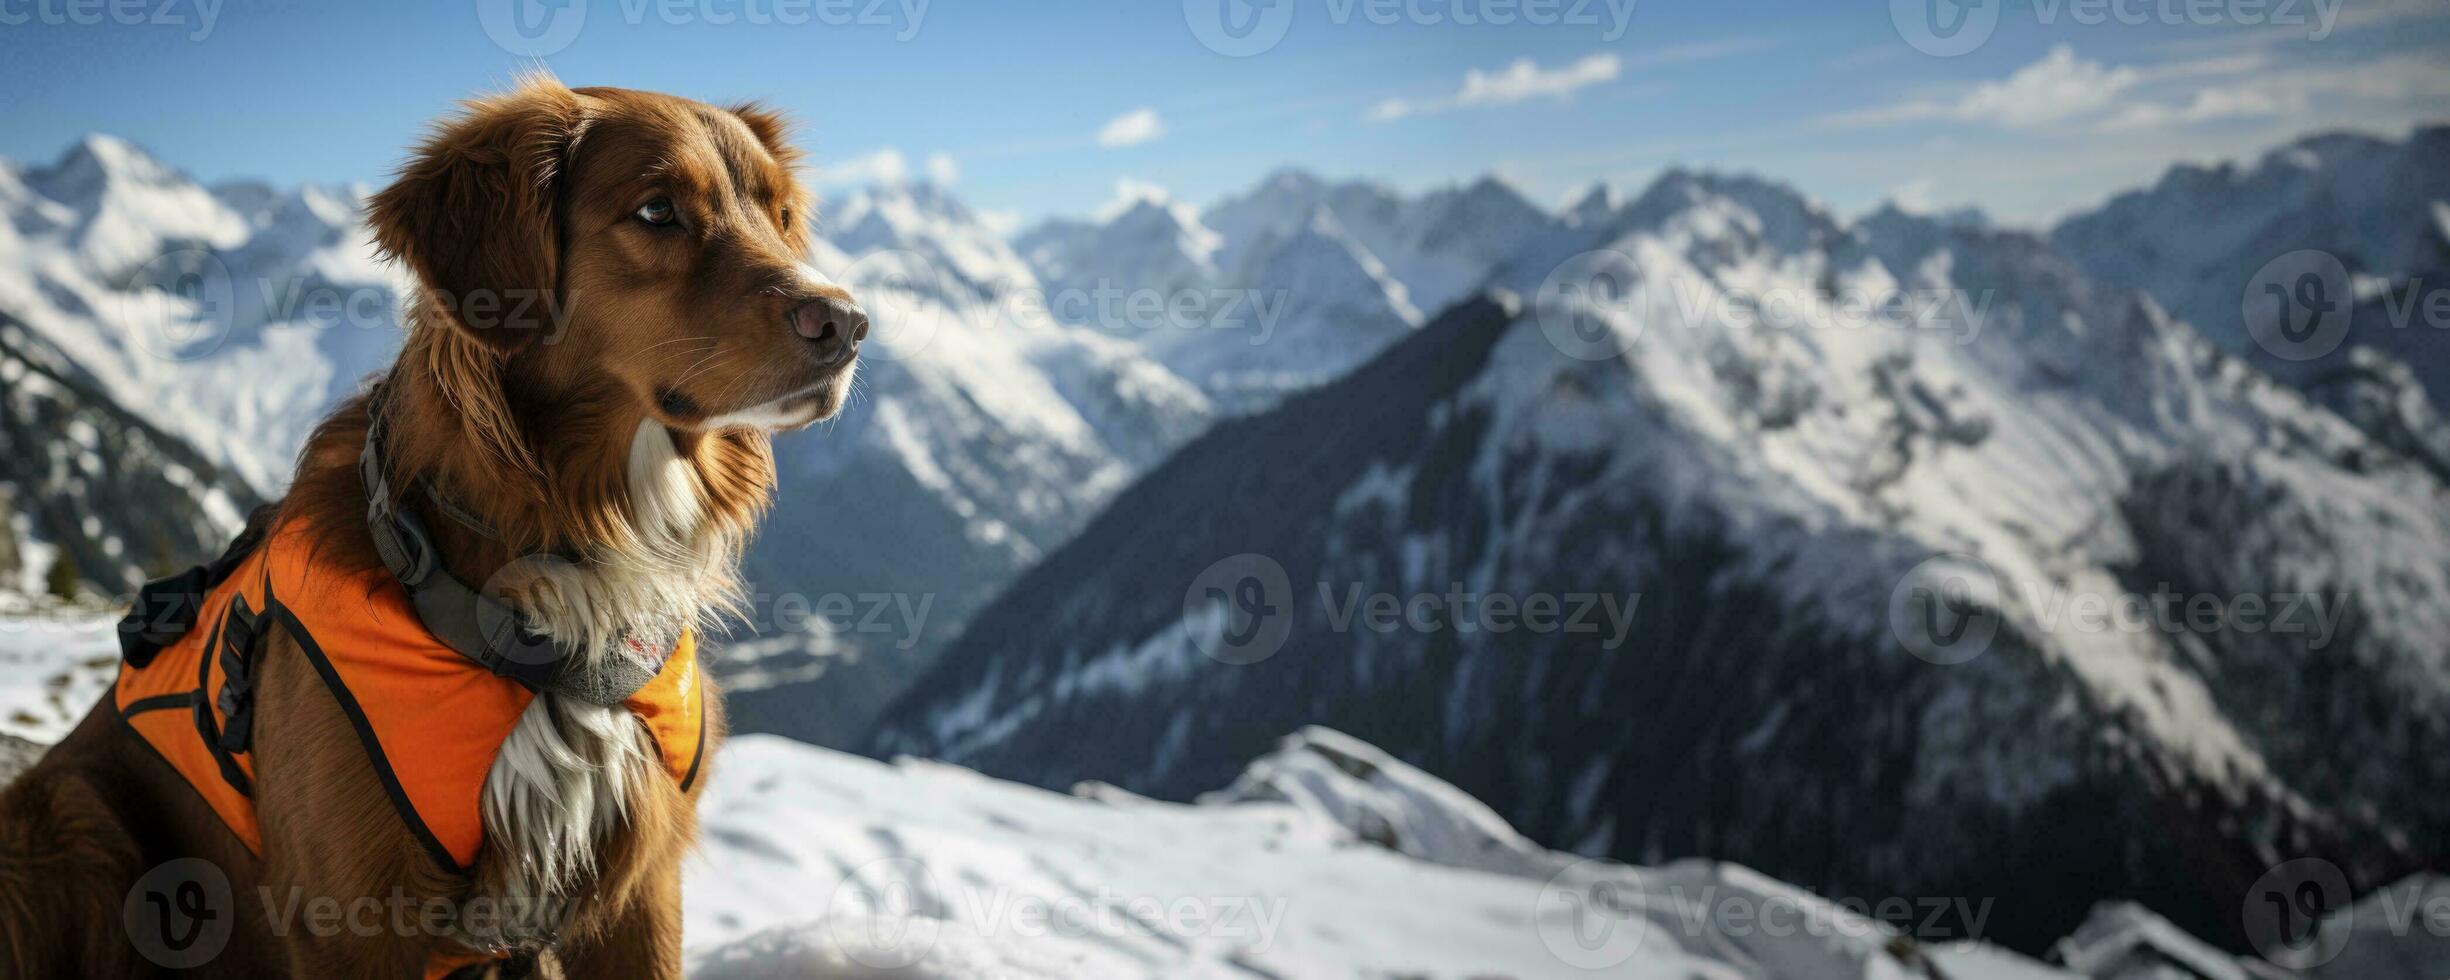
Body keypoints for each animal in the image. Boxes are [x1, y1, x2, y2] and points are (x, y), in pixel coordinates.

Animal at [0, 78, 862, 980]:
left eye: (782, 213)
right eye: (657, 210)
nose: (847, 325)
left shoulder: (641, 886)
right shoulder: (349, 920)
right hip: (64, 820)